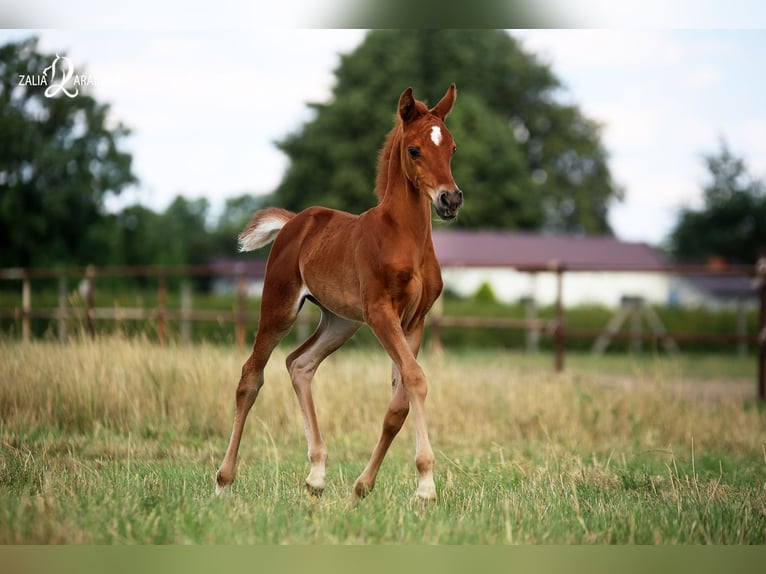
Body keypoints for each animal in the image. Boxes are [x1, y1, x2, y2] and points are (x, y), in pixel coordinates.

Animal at [216, 83, 464, 502]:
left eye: (452, 148)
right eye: (414, 149)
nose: (451, 199)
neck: (405, 237)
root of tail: (294, 221)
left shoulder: (414, 321)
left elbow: (399, 403)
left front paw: (364, 484)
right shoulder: (381, 313)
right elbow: (416, 380)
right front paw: (426, 485)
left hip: (340, 321)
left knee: (299, 364)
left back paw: (316, 475)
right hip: (280, 306)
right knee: (251, 376)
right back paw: (224, 479)